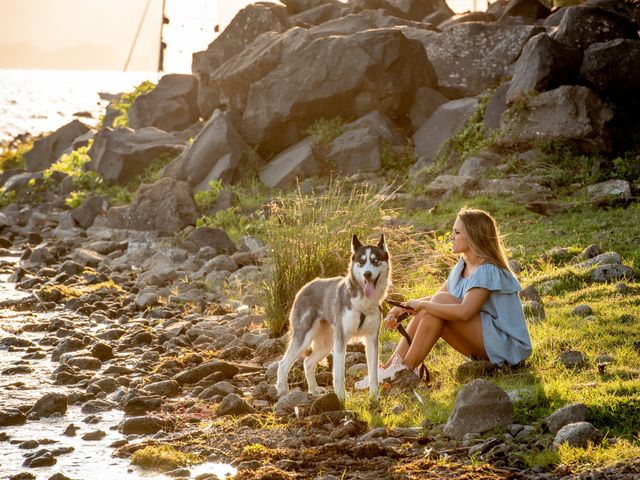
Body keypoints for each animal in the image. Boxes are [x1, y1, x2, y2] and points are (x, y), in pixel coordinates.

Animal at [276, 234, 390, 400]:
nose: (367, 274)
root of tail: (304, 287)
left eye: (375, 261)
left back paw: (314, 390)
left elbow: (373, 373)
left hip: (326, 344)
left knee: (308, 363)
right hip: (304, 338)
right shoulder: (341, 340)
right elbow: (339, 374)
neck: (363, 302)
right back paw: (282, 390)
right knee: (283, 364)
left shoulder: (372, 340)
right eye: (361, 262)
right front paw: (341, 397)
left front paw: (374, 396)